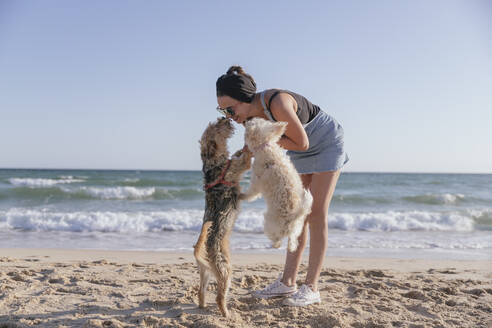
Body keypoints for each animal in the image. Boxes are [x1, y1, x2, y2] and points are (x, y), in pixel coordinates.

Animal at [194, 116, 252, 316]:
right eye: (215, 127)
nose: (223, 118)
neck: (212, 160)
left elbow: (236, 156)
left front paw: (238, 150)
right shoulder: (238, 166)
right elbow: (245, 159)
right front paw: (246, 147)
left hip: (205, 272)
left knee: (200, 291)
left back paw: (203, 305)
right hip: (225, 269)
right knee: (220, 297)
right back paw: (227, 313)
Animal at [241, 117, 314, 251]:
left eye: (252, 122)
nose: (248, 119)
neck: (266, 146)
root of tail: (293, 217)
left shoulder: (256, 182)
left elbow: (250, 194)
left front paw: (241, 195)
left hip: (269, 223)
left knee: (277, 240)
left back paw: (273, 244)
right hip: (295, 229)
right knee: (292, 240)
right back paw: (291, 246)